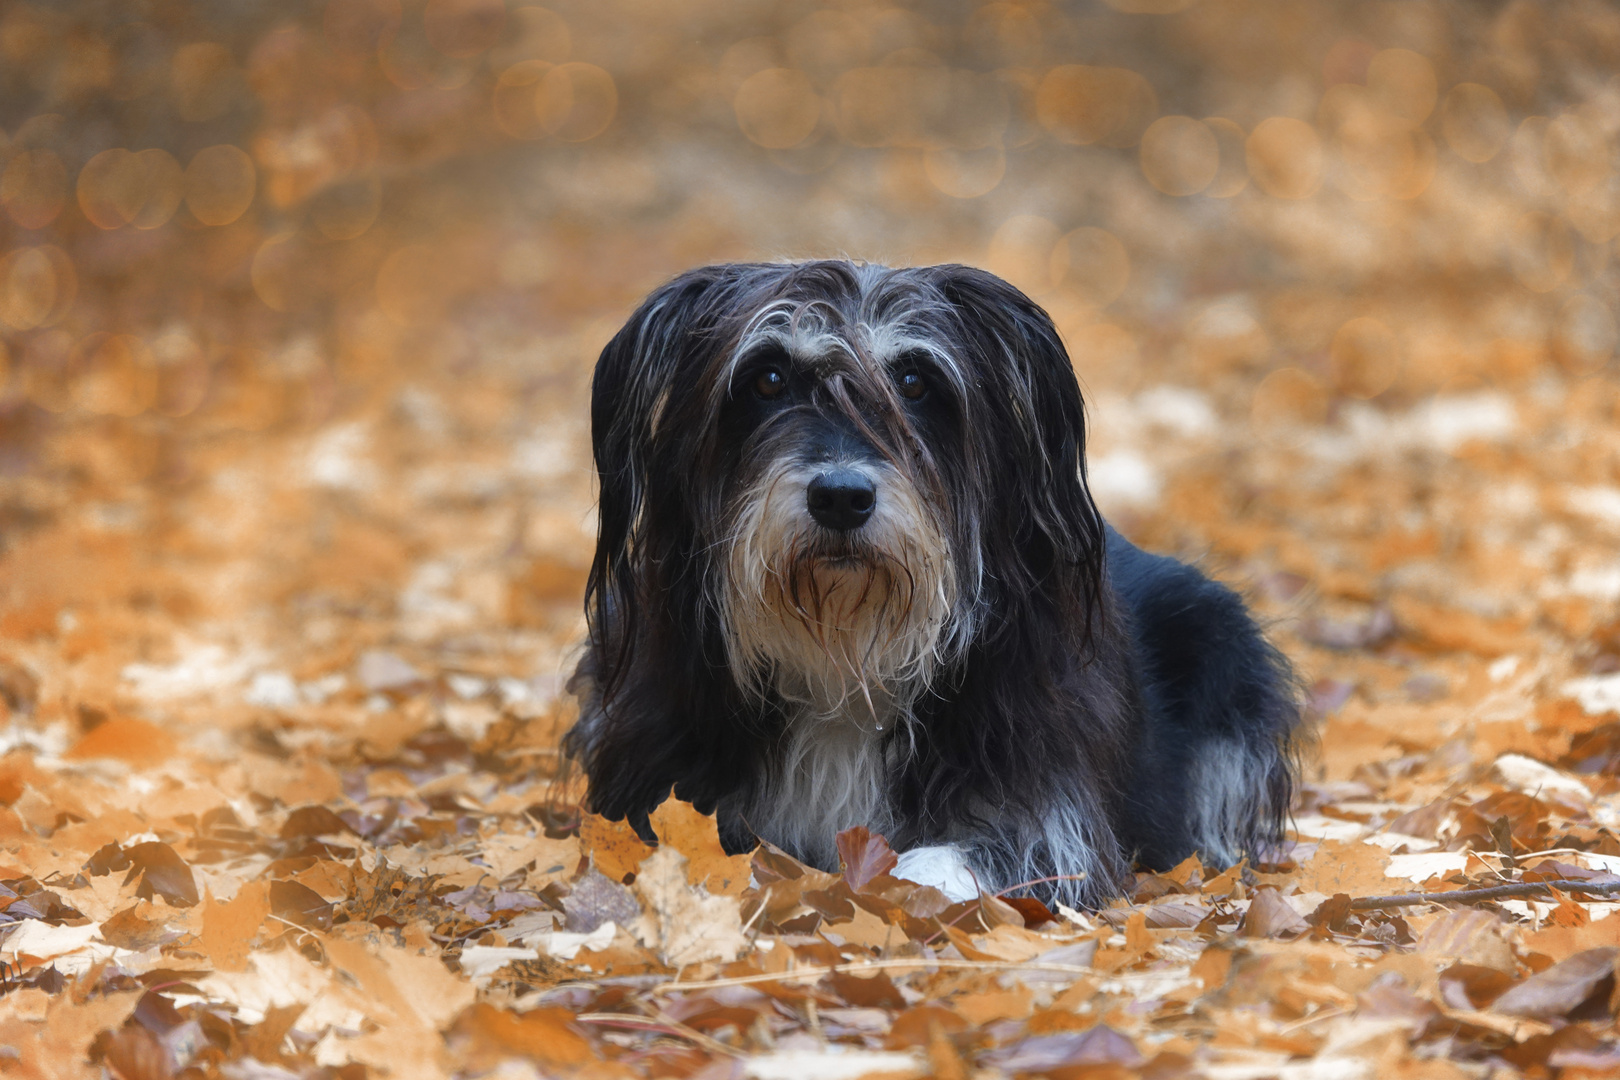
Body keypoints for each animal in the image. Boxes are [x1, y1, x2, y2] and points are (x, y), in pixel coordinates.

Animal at [563, 263, 1296, 913]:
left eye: (915, 381)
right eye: (766, 378)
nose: (841, 497)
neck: (846, 665)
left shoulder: (1048, 809)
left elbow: (938, 862)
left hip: (1223, 644)